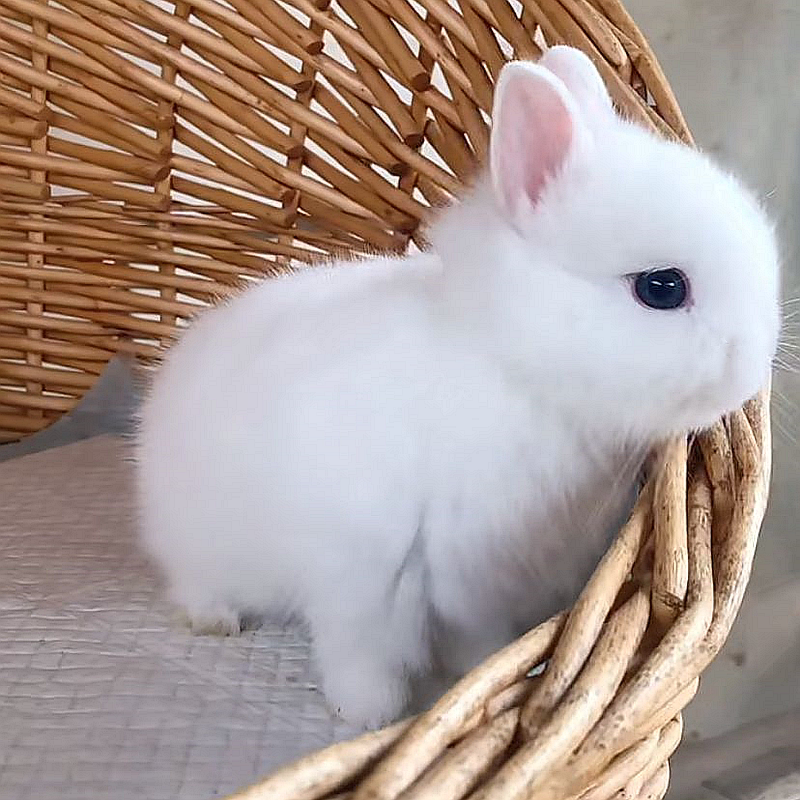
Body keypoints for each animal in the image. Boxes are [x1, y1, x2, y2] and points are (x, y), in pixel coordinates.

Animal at [137, 46, 780, 729]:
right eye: (661, 288)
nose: (752, 367)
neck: (515, 369)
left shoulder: (494, 587)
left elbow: (481, 646)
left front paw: (488, 678)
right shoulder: (372, 570)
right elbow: (359, 649)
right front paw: (370, 715)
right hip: (206, 545)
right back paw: (215, 621)